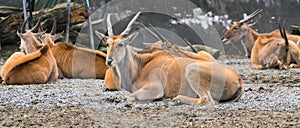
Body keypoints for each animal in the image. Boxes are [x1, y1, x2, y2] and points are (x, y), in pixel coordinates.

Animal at [96, 12, 244, 105]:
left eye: (121, 44)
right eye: (107, 44)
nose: (109, 61)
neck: (140, 65)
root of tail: (238, 79)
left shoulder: (155, 89)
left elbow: (129, 97)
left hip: (192, 70)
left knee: (207, 100)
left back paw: (176, 99)